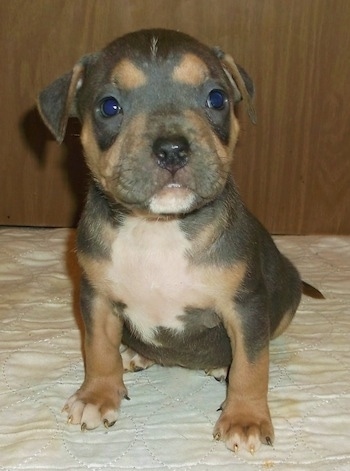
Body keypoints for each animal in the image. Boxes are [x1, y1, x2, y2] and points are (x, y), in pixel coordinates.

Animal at [38, 28, 322, 454]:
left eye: (216, 98)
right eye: (109, 106)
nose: (172, 148)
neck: (158, 226)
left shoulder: (245, 306)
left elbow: (253, 365)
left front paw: (246, 419)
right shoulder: (96, 296)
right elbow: (98, 348)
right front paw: (97, 396)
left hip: (286, 294)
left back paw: (220, 364)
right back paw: (135, 353)